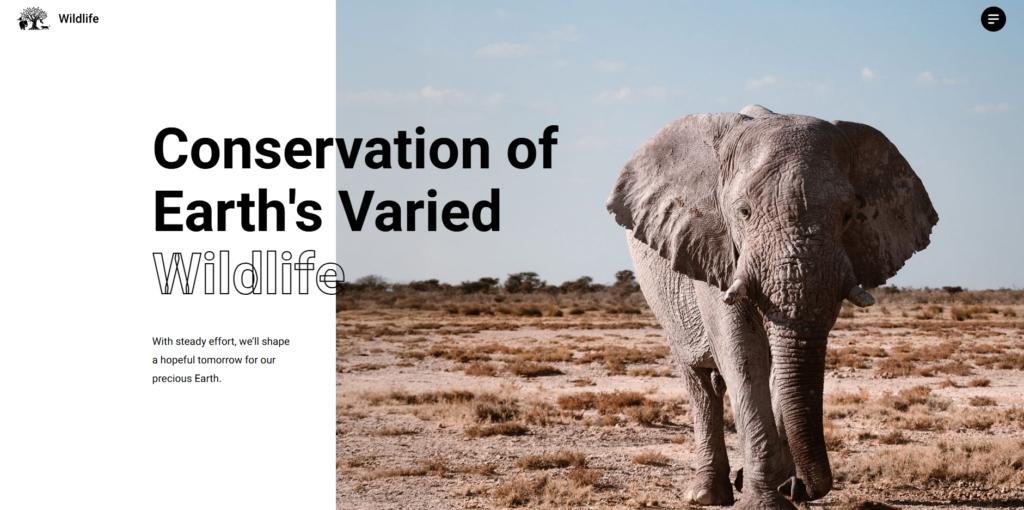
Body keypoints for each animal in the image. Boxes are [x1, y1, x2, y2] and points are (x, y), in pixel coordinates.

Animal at [606, 105, 937, 510]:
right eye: (744, 212)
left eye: (848, 215)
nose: (803, 489)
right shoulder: (714, 248)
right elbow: (742, 353)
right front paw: (765, 501)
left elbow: (786, 359)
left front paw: (785, 490)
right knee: (700, 381)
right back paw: (706, 494)